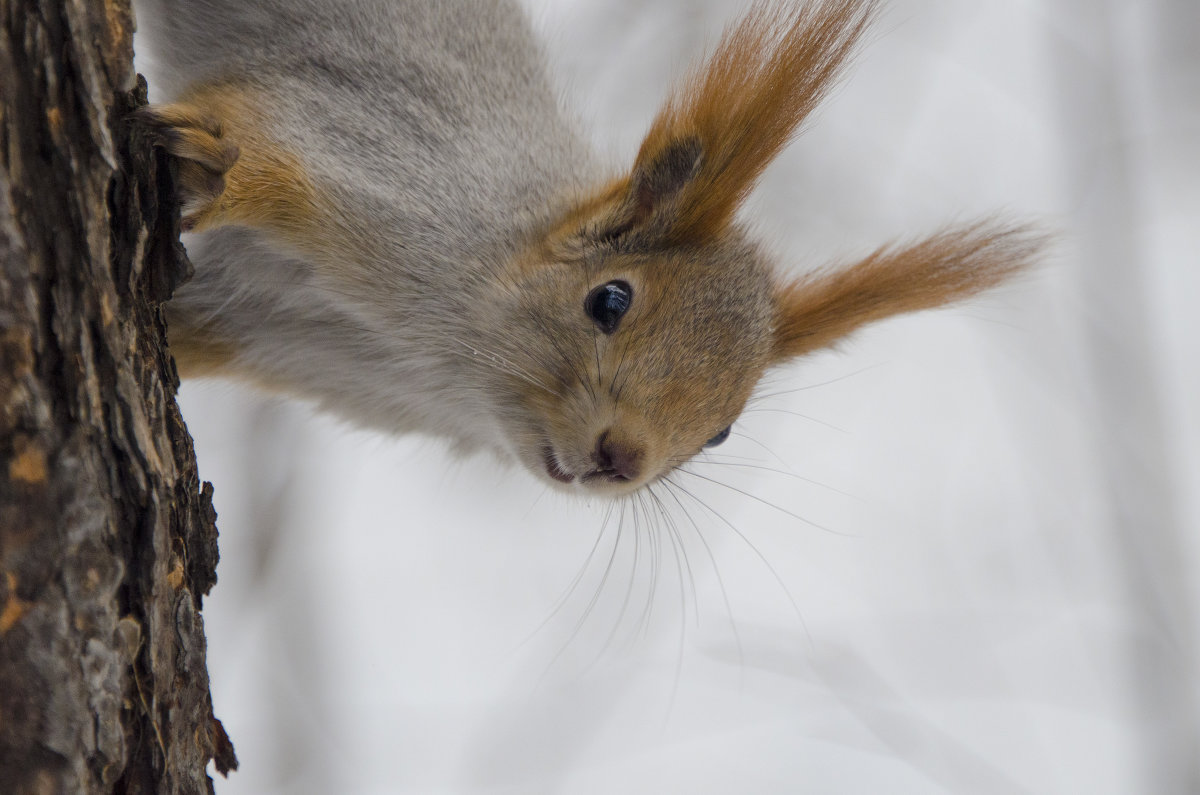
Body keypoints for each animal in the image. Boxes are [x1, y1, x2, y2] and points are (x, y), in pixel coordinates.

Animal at [133, 0, 1041, 494]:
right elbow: (264, 139)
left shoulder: (270, 335)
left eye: (721, 433)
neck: (441, 360)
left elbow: (190, 327)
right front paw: (210, 170)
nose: (622, 457)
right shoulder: (378, 156)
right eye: (610, 299)